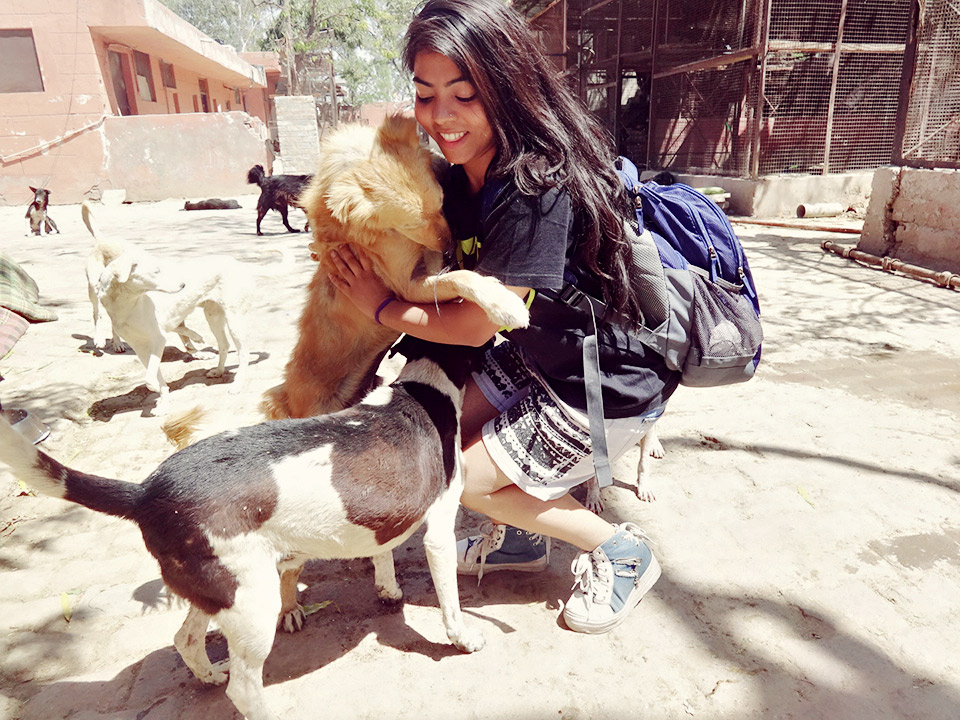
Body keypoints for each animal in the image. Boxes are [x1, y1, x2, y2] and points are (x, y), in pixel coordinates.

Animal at [0, 336, 496, 720]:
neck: (424, 388)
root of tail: (144, 491)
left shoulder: (383, 515)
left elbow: (382, 549)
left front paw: (388, 589)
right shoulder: (439, 530)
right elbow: (449, 601)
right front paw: (463, 639)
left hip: (221, 587)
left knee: (185, 638)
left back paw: (207, 674)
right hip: (254, 606)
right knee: (242, 688)